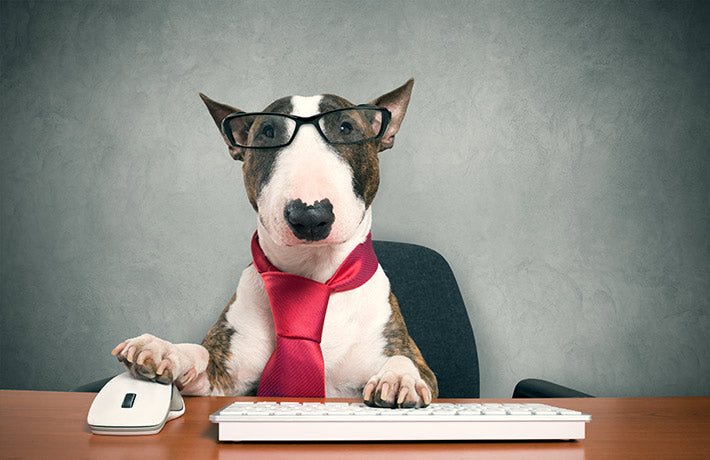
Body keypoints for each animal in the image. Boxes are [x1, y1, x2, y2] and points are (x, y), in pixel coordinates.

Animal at [111, 80, 436, 410]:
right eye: (267, 132)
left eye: (346, 127)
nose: (309, 215)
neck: (312, 274)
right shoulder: (221, 381)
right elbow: (201, 355)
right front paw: (164, 350)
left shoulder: (411, 358)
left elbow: (407, 360)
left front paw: (399, 378)